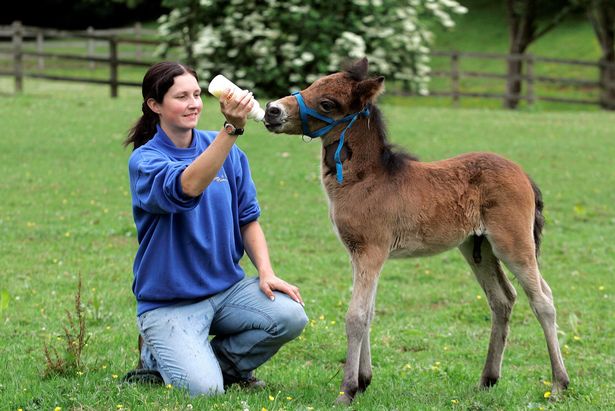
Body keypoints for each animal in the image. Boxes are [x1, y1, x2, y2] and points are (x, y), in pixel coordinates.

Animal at [262, 57, 572, 406]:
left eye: (328, 103)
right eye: (312, 85)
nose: (272, 110)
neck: (368, 180)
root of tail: (523, 174)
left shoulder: (371, 251)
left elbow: (356, 316)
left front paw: (347, 390)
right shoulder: (360, 254)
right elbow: (369, 313)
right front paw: (364, 380)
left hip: (513, 243)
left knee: (543, 299)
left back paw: (559, 384)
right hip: (477, 247)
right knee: (502, 299)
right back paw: (487, 380)